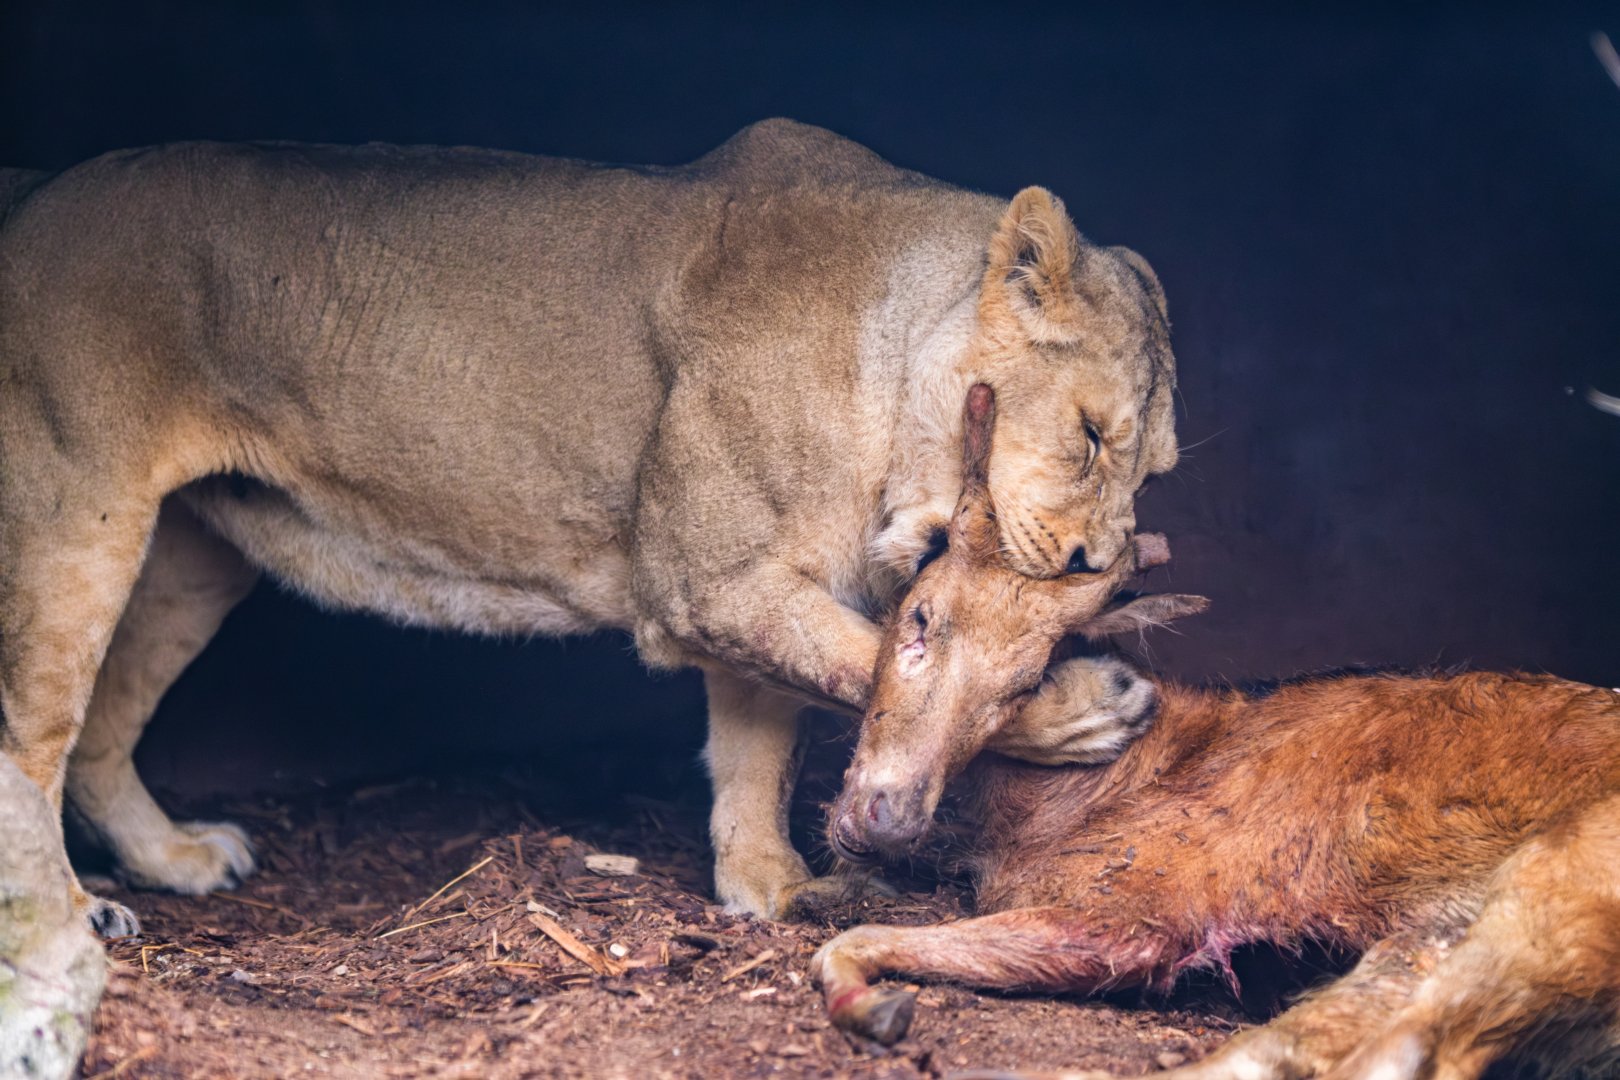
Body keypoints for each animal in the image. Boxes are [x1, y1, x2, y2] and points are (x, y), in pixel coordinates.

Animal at [0, 119, 1178, 933]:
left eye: (1153, 469)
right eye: (1089, 437)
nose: (1098, 559)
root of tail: (36, 185)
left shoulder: (749, 586)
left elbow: (761, 742)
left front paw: (762, 882)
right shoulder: (708, 584)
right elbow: (885, 665)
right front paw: (1084, 705)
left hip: (189, 555)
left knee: (100, 729)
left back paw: (172, 859)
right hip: (77, 513)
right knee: (33, 733)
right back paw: (75, 919)